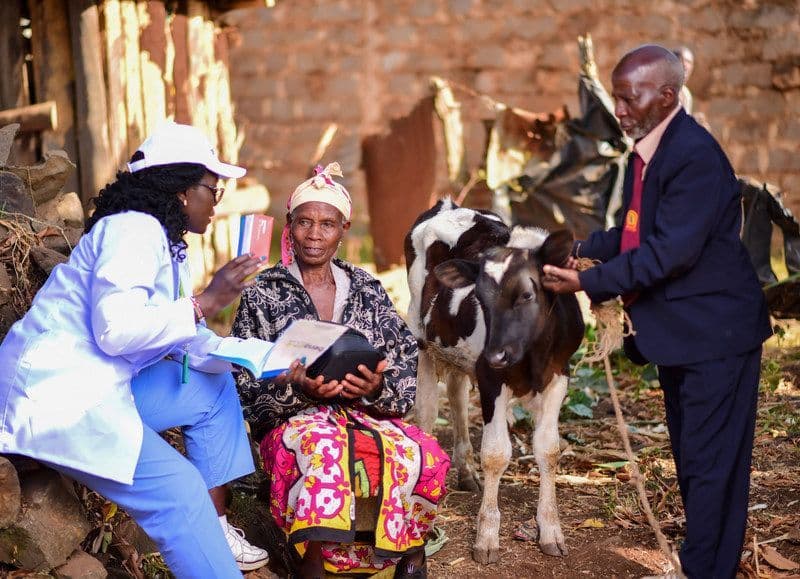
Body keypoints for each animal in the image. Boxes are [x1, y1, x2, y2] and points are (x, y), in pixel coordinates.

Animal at [406, 201, 580, 568]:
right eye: (481, 300)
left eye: (527, 294)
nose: (497, 353)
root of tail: (449, 204)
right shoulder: (490, 378)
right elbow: (497, 454)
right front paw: (487, 537)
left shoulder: (560, 375)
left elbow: (549, 449)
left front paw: (551, 530)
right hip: (423, 339)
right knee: (426, 413)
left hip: (458, 352)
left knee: (457, 396)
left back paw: (465, 471)